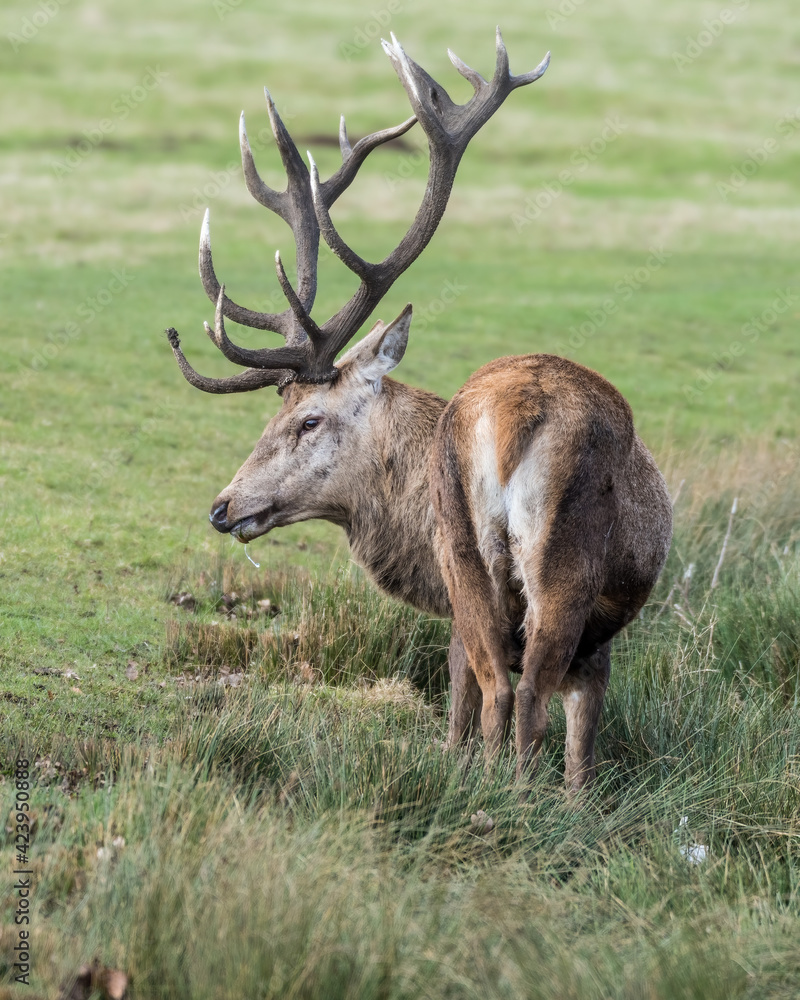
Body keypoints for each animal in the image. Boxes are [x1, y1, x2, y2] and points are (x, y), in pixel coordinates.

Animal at [165, 31, 673, 792]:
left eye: (308, 419)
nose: (222, 507)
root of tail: (515, 417)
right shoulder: (587, 639)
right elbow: (569, 741)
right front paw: (570, 800)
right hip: (551, 567)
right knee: (515, 692)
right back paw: (511, 797)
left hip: (482, 556)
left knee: (502, 688)